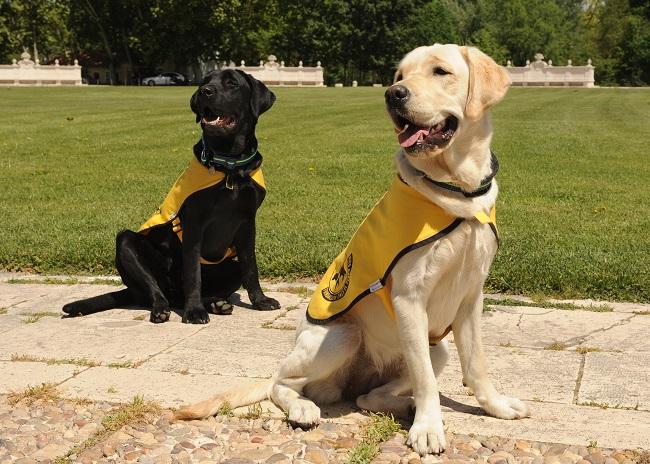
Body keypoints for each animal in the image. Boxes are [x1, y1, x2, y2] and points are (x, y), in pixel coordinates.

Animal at [61, 70, 280, 322]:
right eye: (206, 82)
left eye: (232, 83)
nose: (204, 92)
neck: (230, 167)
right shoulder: (194, 224)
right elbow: (193, 273)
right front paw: (194, 311)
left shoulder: (247, 223)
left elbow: (251, 267)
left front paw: (261, 301)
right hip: (127, 243)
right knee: (158, 291)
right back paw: (164, 307)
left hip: (230, 267)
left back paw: (215, 303)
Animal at [176, 44, 528, 456]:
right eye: (399, 76)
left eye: (441, 71)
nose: (393, 95)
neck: (456, 192)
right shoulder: (410, 298)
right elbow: (426, 380)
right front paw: (428, 428)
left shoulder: (471, 296)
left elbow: (476, 365)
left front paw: (496, 407)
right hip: (343, 336)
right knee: (282, 382)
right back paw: (304, 409)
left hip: (433, 348)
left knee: (367, 397)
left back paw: (402, 405)